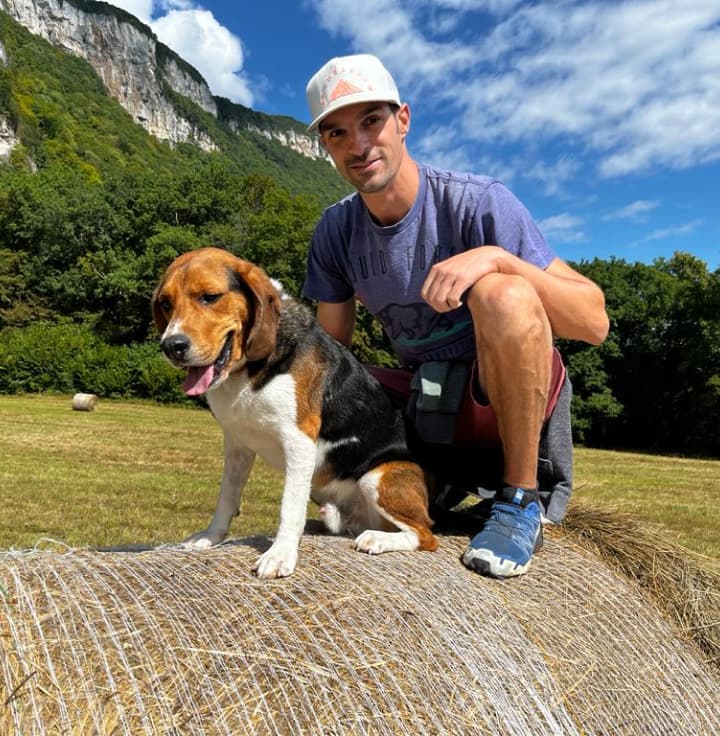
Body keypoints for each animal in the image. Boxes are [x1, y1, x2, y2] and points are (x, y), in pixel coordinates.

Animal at [153, 250, 436, 576]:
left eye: (209, 297)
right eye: (165, 303)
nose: (171, 346)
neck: (248, 370)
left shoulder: (299, 441)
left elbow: (289, 506)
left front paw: (280, 554)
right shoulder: (237, 443)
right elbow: (227, 496)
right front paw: (210, 538)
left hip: (376, 477)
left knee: (426, 536)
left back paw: (377, 539)